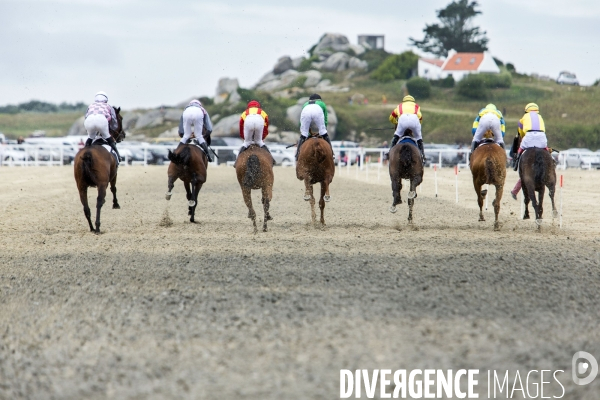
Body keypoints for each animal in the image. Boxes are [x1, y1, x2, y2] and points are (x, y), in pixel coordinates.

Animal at [74, 106, 125, 234]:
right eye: (121, 118)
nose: (123, 135)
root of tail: (87, 154)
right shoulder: (113, 175)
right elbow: (114, 188)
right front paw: (116, 204)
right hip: (101, 184)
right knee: (98, 202)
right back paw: (97, 227)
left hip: (81, 187)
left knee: (86, 207)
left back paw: (92, 228)